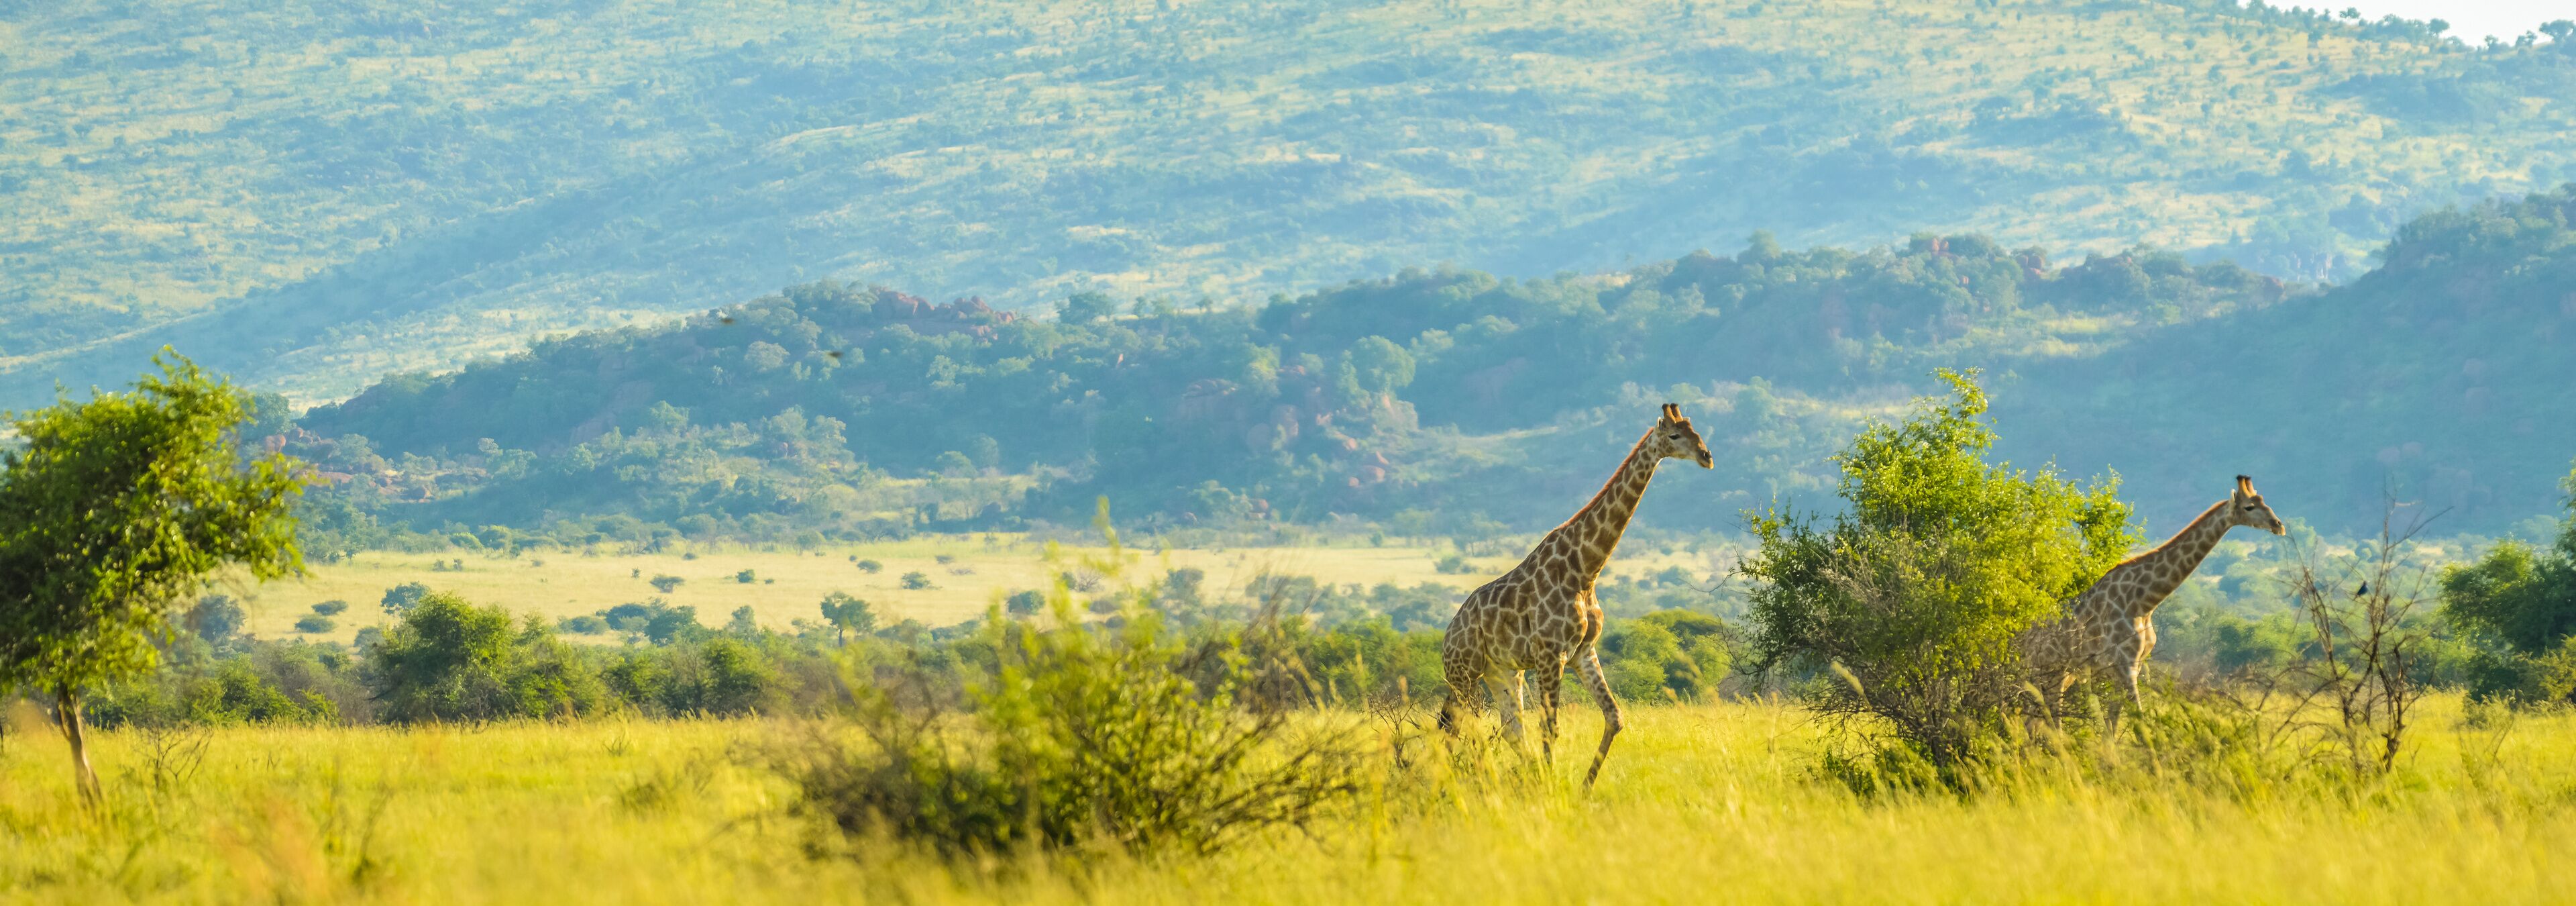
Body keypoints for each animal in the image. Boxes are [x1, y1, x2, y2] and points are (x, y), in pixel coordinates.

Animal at [1438, 403, 1712, 787]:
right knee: (1456, 727)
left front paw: (1582, 788)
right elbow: (1551, 728)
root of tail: (1448, 633)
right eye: (1675, 436)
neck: (1585, 569)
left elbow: (1615, 717)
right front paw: (1555, 789)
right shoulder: (1551, 655)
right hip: (1464, 672)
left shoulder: (1584, 652)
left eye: (1697, 432)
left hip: (1503, 673)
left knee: (1508, 729)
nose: (1707, 457)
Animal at [2023, 475, 2286, 736]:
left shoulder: (2133, 665)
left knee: (2041, 716)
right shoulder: (2125, 665)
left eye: (2265, 502)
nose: (2278, 525)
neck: (2144, 603)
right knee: (2038, 715)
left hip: (2061, 672)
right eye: (2249, 507)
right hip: (2039, 669)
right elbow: (2137, 721)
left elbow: (2114, 722)